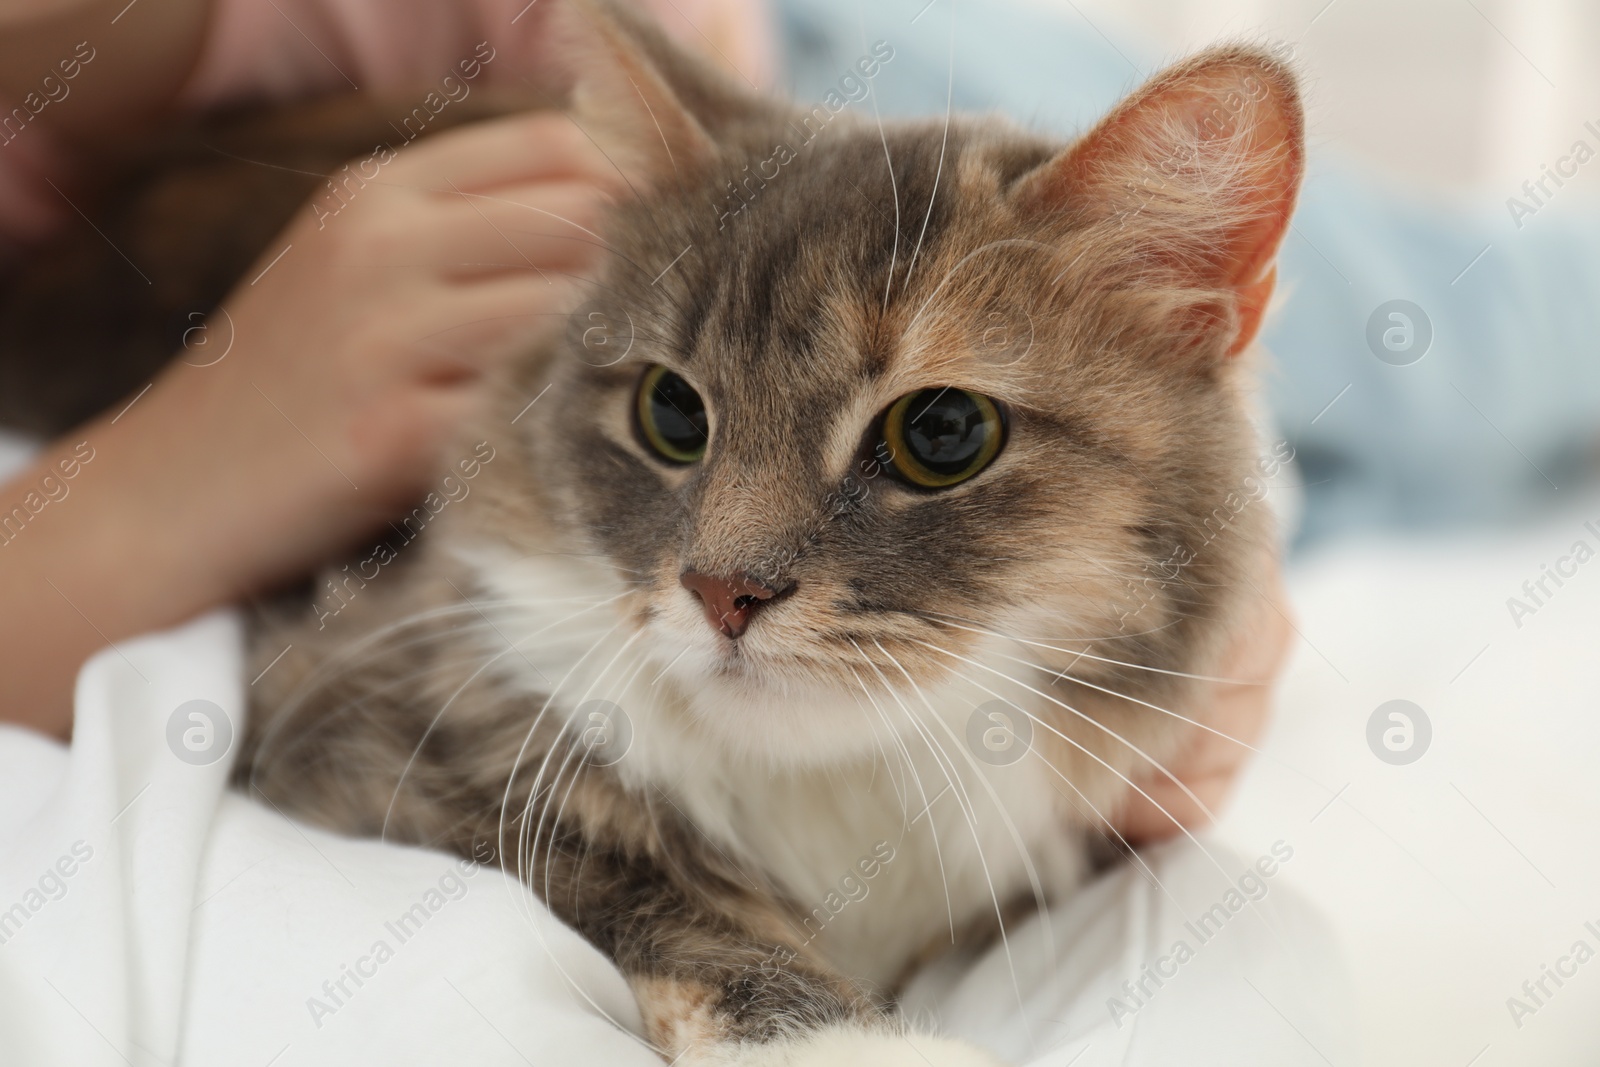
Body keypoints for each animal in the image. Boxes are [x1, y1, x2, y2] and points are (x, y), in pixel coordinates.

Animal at [3, 2, 1299, 1067]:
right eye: (671, 412)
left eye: (942, 432)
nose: (723, 588)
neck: (835, 786)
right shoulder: (370, 716)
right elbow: (689, 906)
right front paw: (867, 1043)